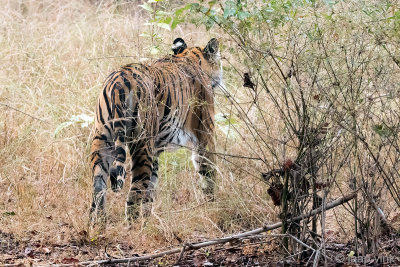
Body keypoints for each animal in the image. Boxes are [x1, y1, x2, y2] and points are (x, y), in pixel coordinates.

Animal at [89, 38, 223, 222]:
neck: (190, 56)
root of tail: (118, 82)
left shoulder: (155, 152)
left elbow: (151, 190)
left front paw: (147, 219)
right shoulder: (205, 133)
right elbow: (208, 171)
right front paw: (212, 206)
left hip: (102, 140)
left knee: (98, 191)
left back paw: (97, 226)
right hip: (141, 145)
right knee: (134, 195)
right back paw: (134, 227)